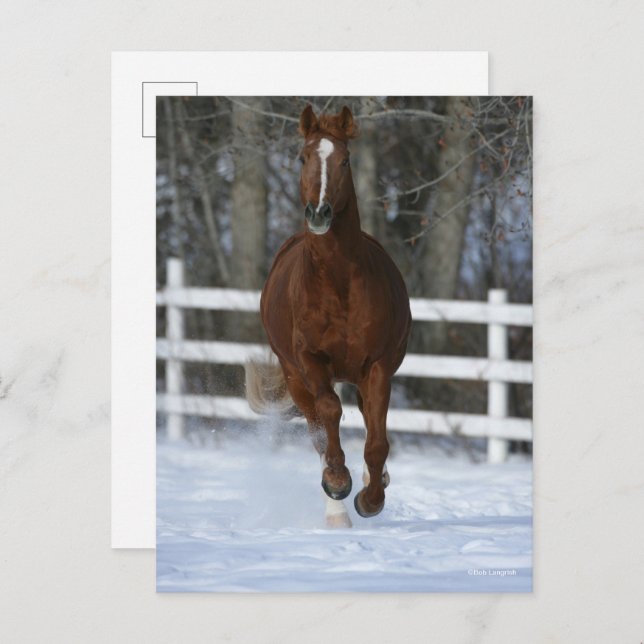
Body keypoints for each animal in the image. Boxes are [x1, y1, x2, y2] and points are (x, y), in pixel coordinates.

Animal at [245, 105, 411, 528]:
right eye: (302, 157)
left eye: (345, 159)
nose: (318, 213)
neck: (338, 287)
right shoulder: (310, 361)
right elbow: (330, 414)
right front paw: (338, 483)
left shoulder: (378, 366)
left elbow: (377, 440)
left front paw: (371, 498)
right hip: (294, 377)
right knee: (318, 429)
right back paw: (336, 509)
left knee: (368, 420)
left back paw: (372, 482)